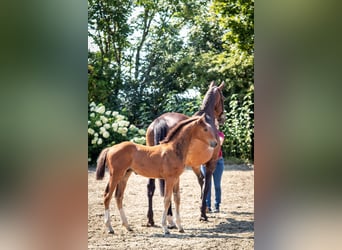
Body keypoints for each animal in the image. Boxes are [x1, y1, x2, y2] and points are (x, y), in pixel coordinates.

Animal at [146, 81, 224, 226]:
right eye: (223, 97)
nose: (222, 118)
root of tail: (160, 120)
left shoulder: (195, 164)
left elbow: (201, 181)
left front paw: (204, 208)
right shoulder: (211, 163)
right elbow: (207, 185)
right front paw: (203, 214)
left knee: (151, 187)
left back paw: (151, 219)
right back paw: (170, 219)